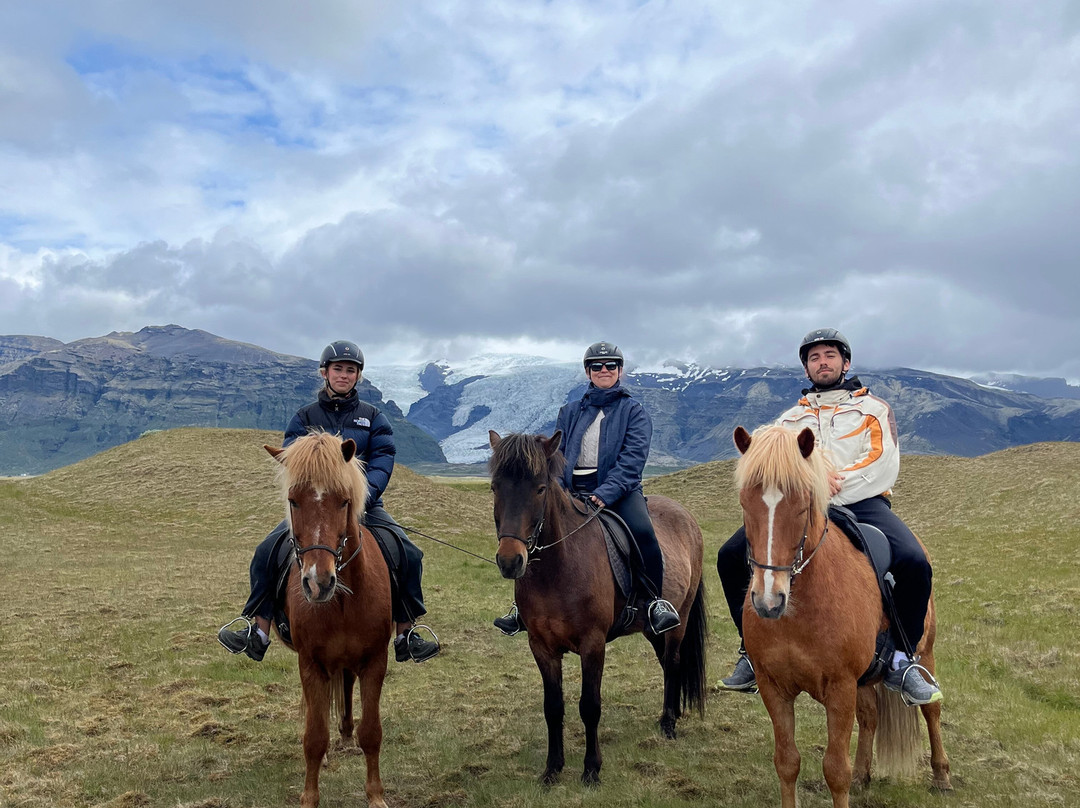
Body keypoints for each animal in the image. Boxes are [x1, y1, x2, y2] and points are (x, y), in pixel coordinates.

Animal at [264, 431, 394, 808]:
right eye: (293, 501)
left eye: (343, 501)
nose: (317, 582)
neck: (342, 601)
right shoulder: (311, 664)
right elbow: (314, 736)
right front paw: (309, 797)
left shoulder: (375, 660)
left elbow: (372, 732)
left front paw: (375, 794)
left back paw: (347, 734)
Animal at [488, 430, 707, 785]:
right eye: (495, 487)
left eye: (540, 488)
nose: (510, 561)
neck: (558, 568)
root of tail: (685, 516)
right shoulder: (541, 646)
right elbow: (553, 707)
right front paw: (552, 769)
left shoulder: (593, 644)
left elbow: (589, 705)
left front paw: (591, 769)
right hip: (651, 630)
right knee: (666, 664)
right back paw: (671, 714)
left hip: (679, 619)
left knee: (673, 662)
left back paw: (668, 724)